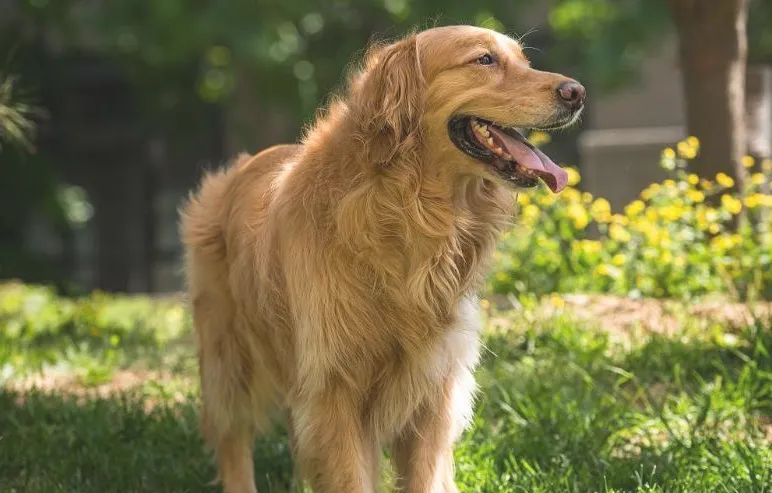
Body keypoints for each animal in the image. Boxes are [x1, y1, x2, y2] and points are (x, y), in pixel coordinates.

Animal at [178, 24, 584, 492]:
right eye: (484, 60)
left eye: (524, 60)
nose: (577, 93)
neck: (407, 211)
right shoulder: (333, 390)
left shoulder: (433, 388)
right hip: (228, 360)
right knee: (233, 440)